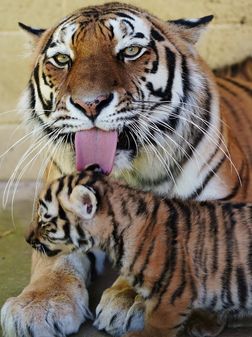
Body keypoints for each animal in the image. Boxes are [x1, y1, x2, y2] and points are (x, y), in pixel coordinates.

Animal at [0, 2, 252, 336]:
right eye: (62, 59)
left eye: (131, 51)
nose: (89, 103)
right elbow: (54, 258)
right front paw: (38, 306)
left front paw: (130, 302)